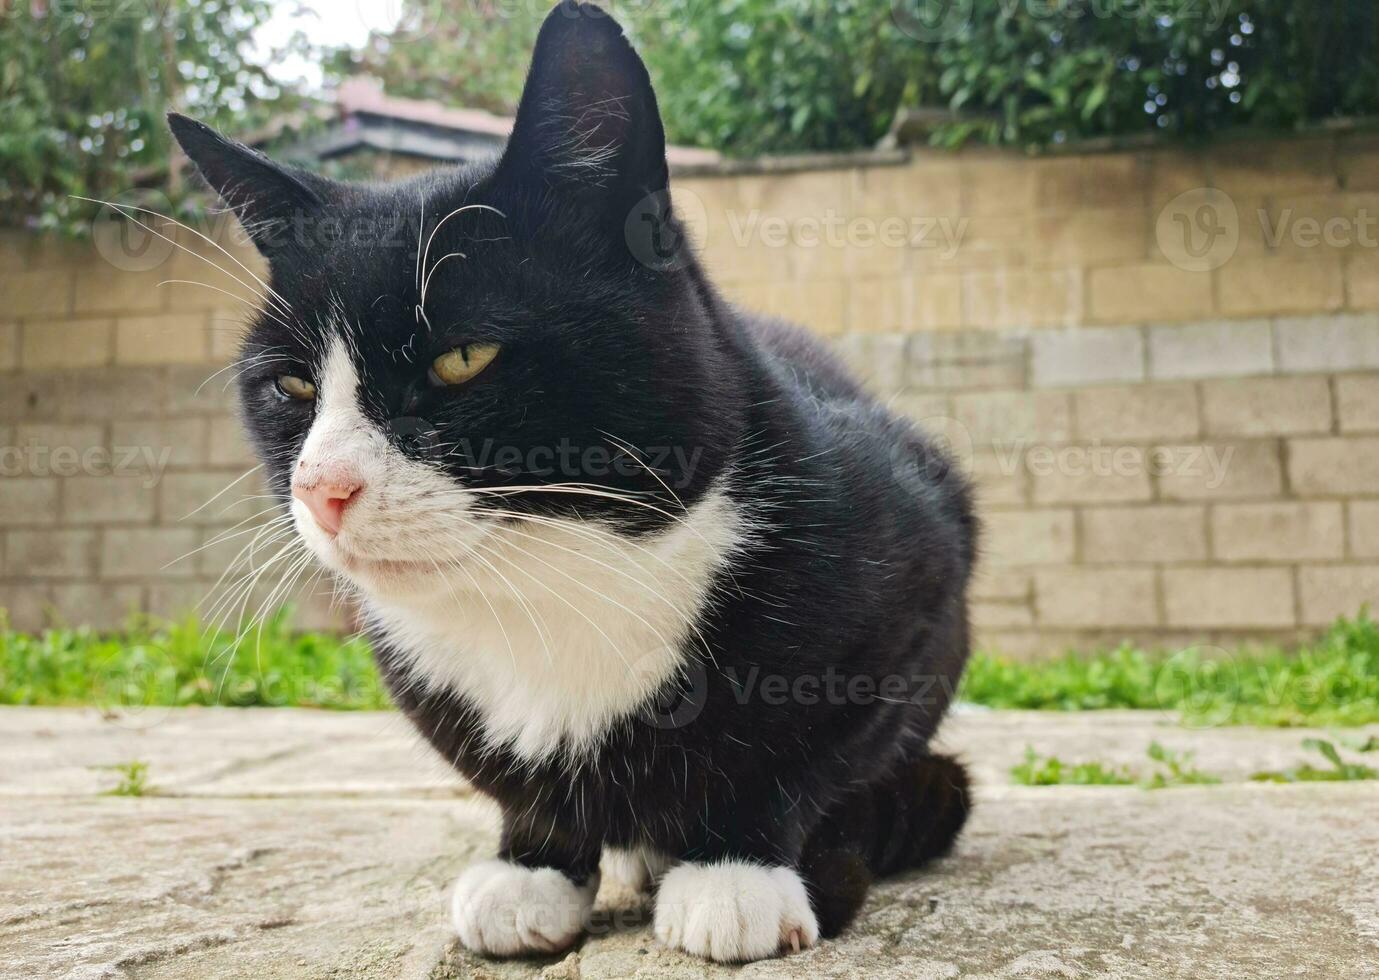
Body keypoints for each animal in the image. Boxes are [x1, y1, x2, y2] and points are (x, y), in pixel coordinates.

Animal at [166, 1, 976, 964]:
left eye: (462, 359)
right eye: (289, 386)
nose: (323, 488)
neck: (551, 584)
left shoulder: (921, 564)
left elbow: (804, 751)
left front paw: (734, 868)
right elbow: (522, 782)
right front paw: (533, 866)